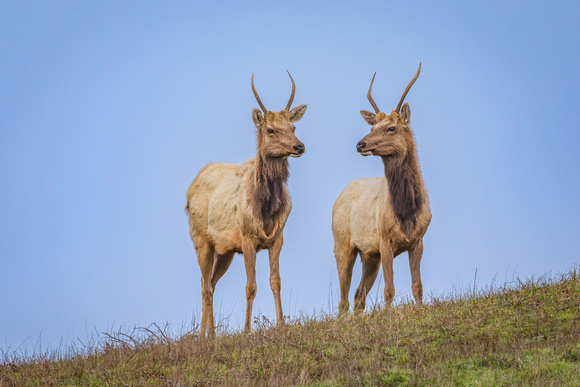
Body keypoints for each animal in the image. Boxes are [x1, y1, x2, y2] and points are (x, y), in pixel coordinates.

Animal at [186, 73, 308, 340]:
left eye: (293, 128)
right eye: (271, 129)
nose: (299, 146)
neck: (266, 209)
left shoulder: (277, 237)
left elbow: (276, 281)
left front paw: (281, 324)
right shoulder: (247, 238)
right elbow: (250, 286)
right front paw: (246, 330)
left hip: (225, 250)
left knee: (211, 282)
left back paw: (212, 335)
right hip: (200, 238)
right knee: (204, 285)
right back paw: (202, 337)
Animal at [330, 65, 430, 314]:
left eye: (391, 127)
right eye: (372, 126)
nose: (360, 144)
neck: (407, 210)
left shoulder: (418, 239)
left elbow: (417, 286)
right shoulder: (385, 240)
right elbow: (389, 289)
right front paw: (388, 315)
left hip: (370, 256)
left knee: (358, 295)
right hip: (342, 244)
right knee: (343, 299)